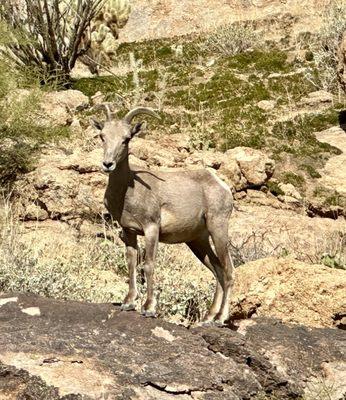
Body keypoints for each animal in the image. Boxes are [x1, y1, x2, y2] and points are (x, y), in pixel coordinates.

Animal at [92, 107, 232, 324]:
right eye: (102, 136)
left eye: (126, 139)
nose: (108, 164)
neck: (127, 191)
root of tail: (222, 186)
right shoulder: (128, 231)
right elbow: (132, 263)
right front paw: (128, 302)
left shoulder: (151, 229)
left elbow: (149, 265)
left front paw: (149, 308)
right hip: (198, 241)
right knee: (217, 269)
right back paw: (208, 317)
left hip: (218, 230)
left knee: (228, 271)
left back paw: (220, 318)